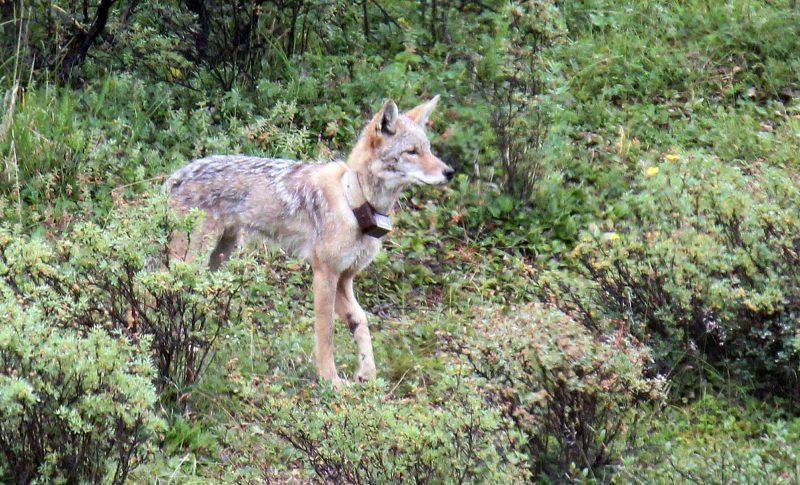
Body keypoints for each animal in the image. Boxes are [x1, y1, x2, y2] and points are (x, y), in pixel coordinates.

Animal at [166, 97, 454, 388]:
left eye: (428, 150)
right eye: (412, 152)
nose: (450, 172)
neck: (354, 201)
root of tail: (176, 175)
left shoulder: (345, 279)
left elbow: (361, 322)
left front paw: (368, 375)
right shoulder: (324, 273)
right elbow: (326, 334)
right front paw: (331, 381)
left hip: (218, 258)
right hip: (192, 261)